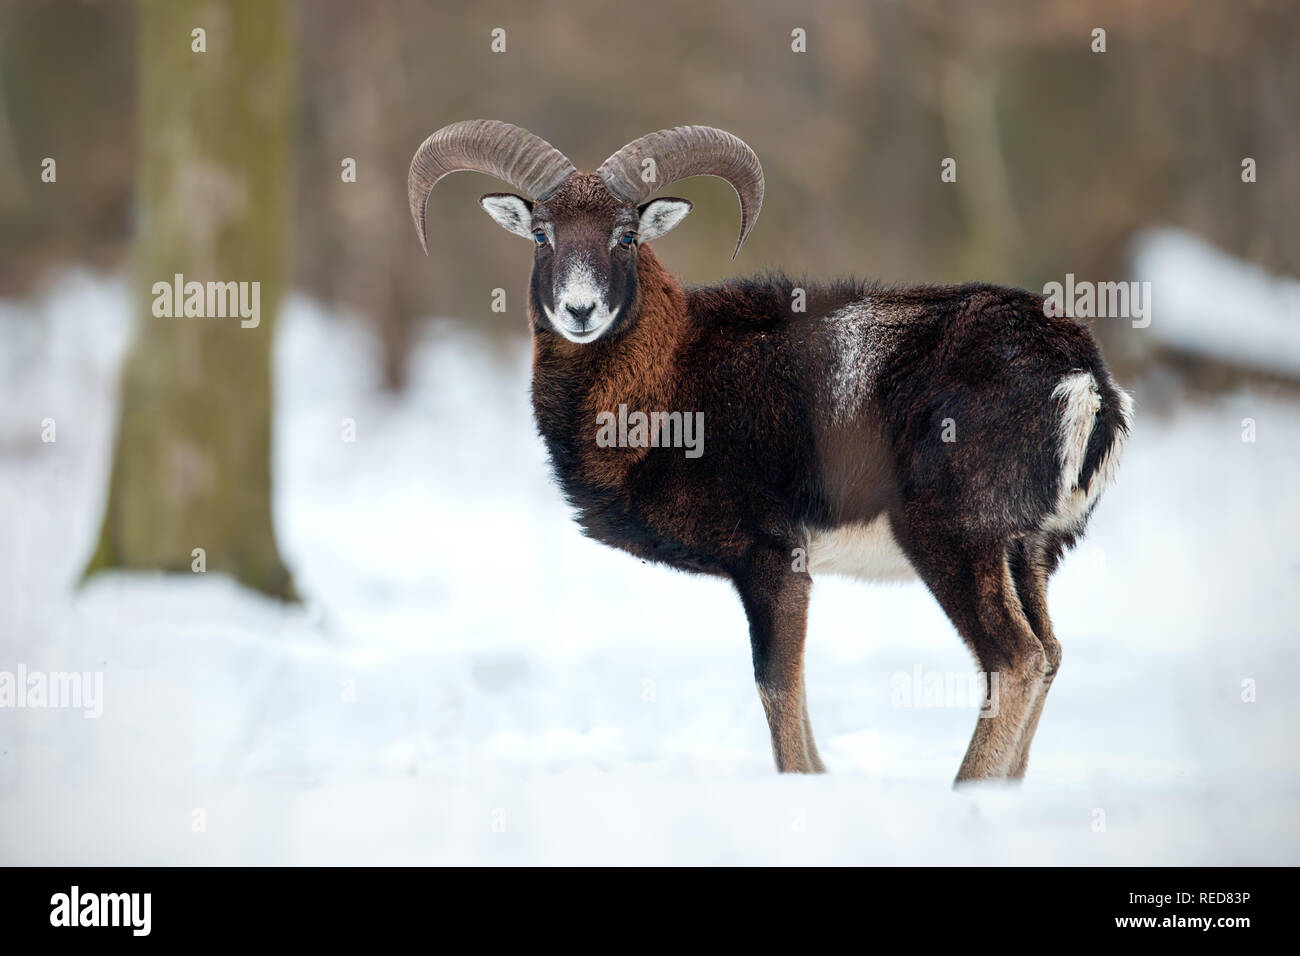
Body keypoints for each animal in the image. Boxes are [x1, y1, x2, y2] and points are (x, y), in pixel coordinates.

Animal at [405, 119, 1128, 780]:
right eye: (541, 233)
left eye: (626, 234)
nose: (580, 311)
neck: (671, 382)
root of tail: (1082, 377)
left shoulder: (770, 562)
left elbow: (778, 690)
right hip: (1027, 555)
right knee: (1049, 654)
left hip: (954, 542)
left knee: (1014, 660)